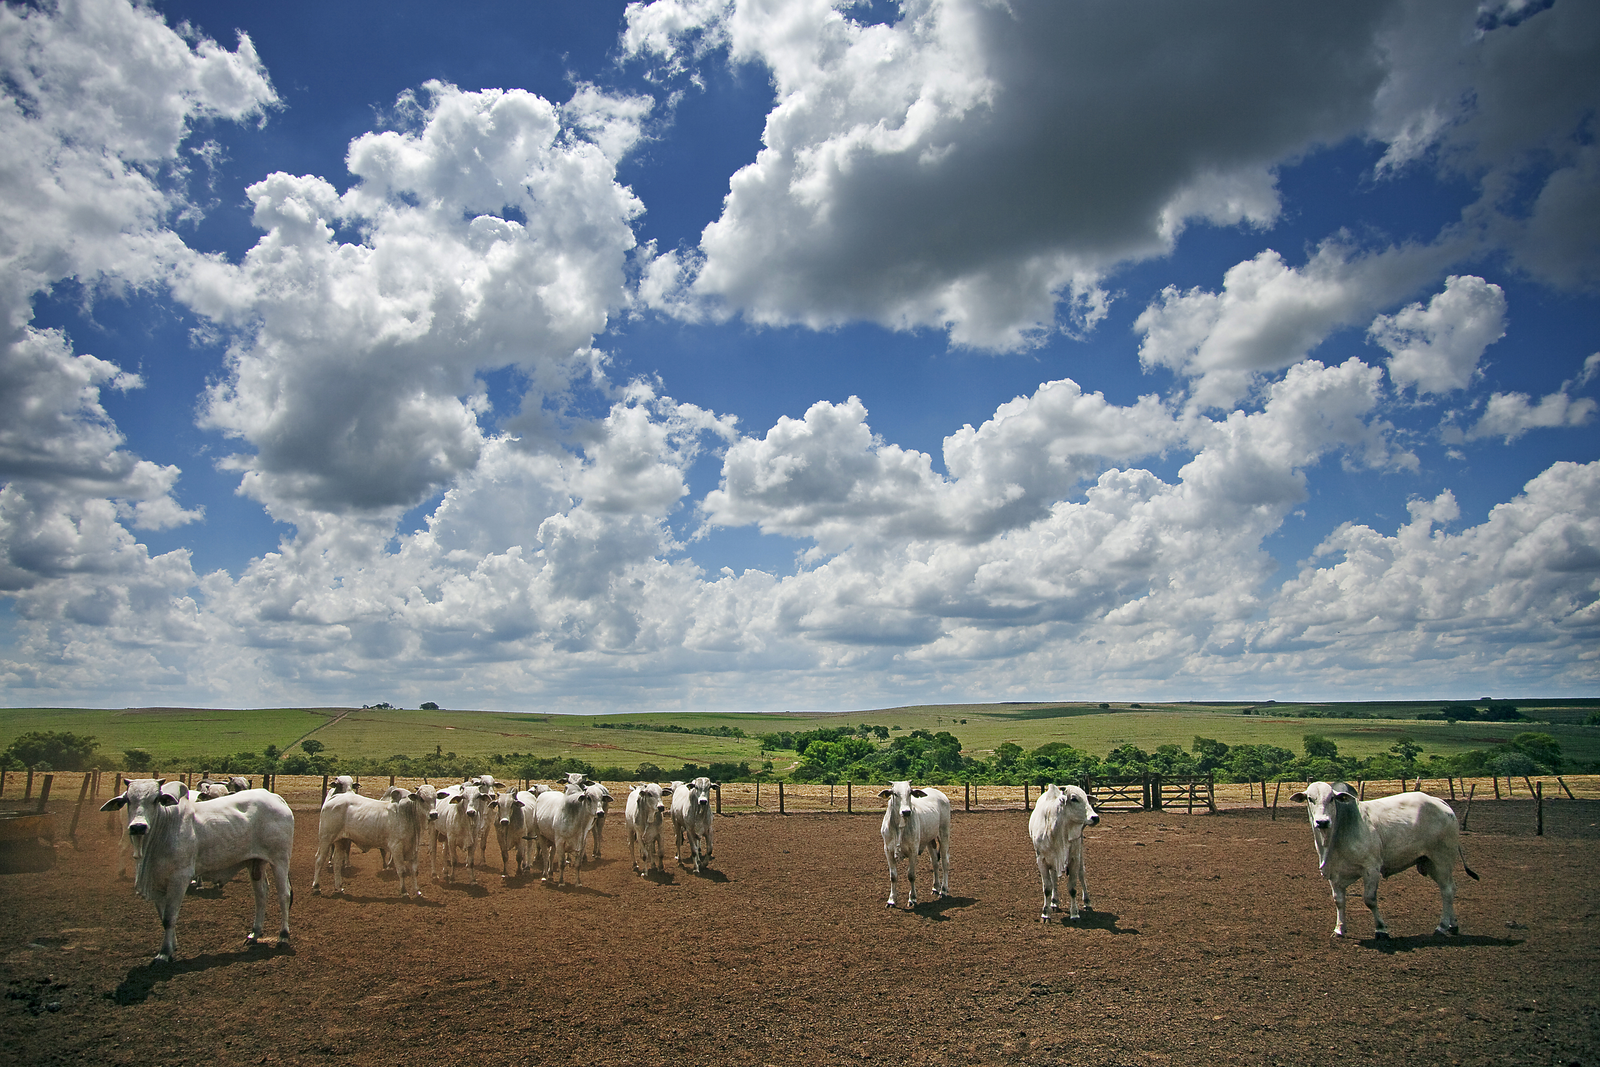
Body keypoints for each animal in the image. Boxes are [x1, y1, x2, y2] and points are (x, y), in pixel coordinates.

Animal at [101, 780, 296, 966]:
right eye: (128, 800)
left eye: (156, 799)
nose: (138, 827)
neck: (165, 826)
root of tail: (275, 798)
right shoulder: (157, 882)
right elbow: (163, 917)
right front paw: (171, 948)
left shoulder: (179, 878)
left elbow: (169, 918)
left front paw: (163, 954)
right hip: (255, 863)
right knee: (261, 894)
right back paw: (254, 933)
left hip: (279, 859)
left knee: (284, 895)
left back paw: (283, 936)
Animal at [876, 780, 947, 908]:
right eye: (894, 793)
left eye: (910, 793)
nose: (906, 812)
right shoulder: (888, 850)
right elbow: (893, 876)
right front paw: (891, 900)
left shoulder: (913, 850)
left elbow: (911, 875)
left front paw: (912, 898)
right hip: (930, 840)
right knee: (935, 862)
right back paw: (935, 888)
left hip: (944, 834)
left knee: (945, 862)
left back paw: (943, 890)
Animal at [1024, 780, 1100, 921]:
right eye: (1074, 799)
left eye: (1087, 799)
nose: (1095, 817)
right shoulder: (1041, 860)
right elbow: (1047, 887)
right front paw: (1046, 913)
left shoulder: (1074, 858)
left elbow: (1072, 888)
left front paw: (1074, 913)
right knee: (1054, 878)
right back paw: (1054, 901)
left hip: (1080, 850)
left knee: (1082, 874)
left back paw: (1087, 902)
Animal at [1280, 780, 1478, 940]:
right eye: (1310, 799)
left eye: (1331, 799)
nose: (1322, 822)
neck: (1337, 833)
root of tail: (1441, 803)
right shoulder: (1334, 873)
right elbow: (1339, 901)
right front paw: (1339, 929)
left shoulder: (1371, 868)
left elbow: (1369, 899)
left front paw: (1381, 930)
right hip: (1429, 862)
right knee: (1450, 888)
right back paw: (1453, 925)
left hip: (1441, 859)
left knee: (1447, 890)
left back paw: (1442, 926)